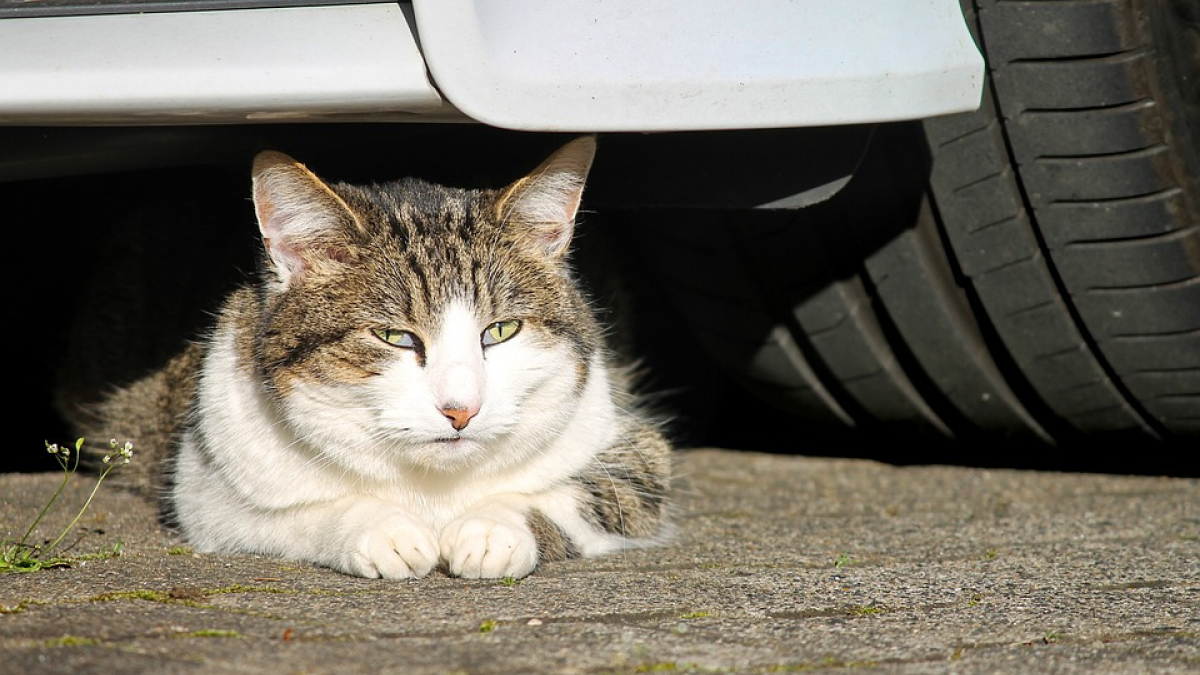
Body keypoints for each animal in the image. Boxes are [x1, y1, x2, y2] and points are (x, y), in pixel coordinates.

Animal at [63, 138, 676, 578]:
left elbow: (581, 493)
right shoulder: (206, 489)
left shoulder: (636, 453)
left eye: (501, 331)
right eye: (394, 337)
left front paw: (492, 528)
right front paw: (383, 530)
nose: (462, 410)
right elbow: (291, 515)